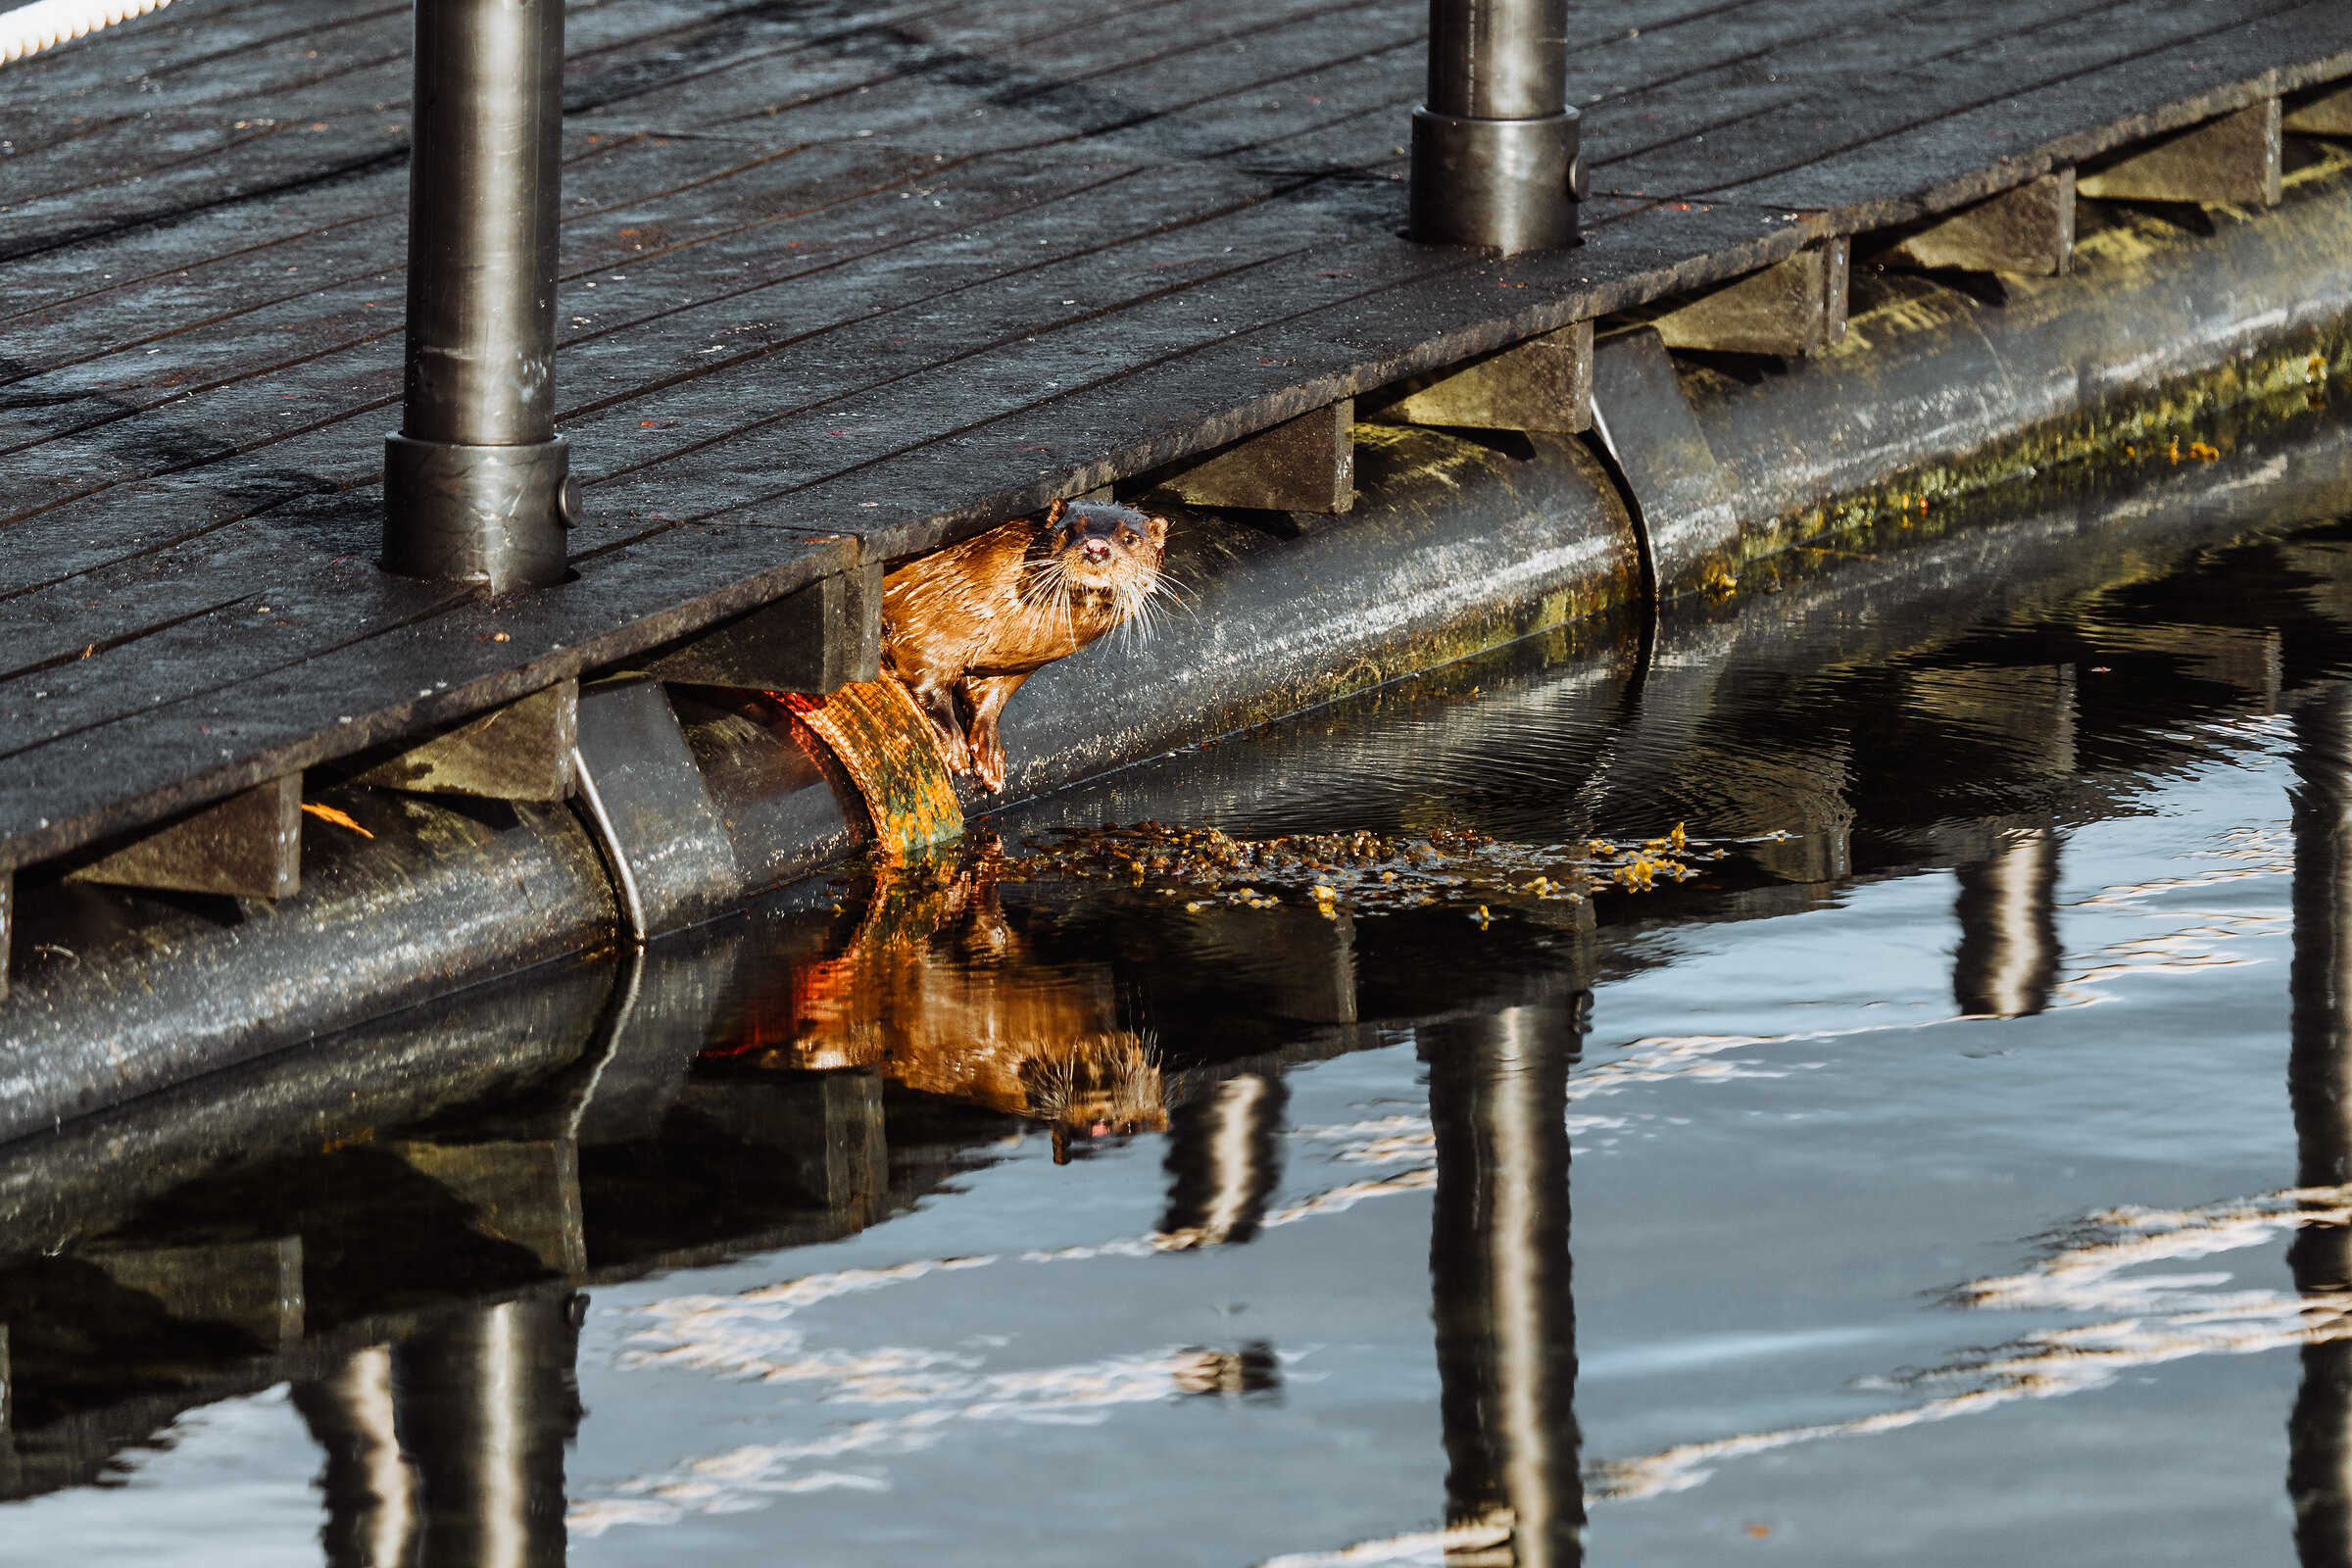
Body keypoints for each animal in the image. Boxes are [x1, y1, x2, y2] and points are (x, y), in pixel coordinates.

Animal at [881, 497, 1172, 791]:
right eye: (1070, 531)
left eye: (1130, 538)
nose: (1096, 547)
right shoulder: (927, 623)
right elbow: (925, 681)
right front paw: (953, 743)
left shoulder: (1012, 664)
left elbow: (991, 696)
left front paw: (989, 752)